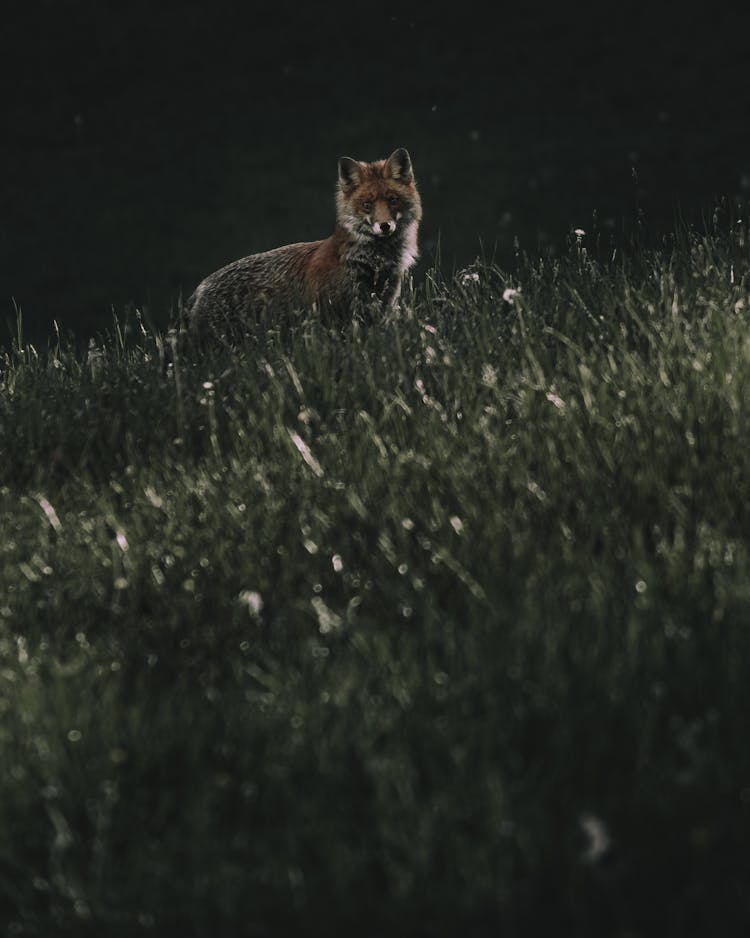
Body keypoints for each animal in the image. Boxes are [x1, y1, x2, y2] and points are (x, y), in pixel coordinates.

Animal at [184, 146, 424, 336]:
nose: (385, 226)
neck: (371, 263)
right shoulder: (335, 317)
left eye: (393, 200)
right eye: (367, 204)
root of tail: (200, 288)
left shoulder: (382, 311)